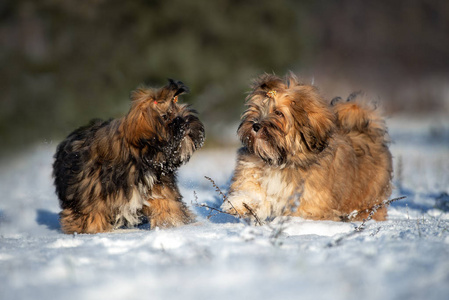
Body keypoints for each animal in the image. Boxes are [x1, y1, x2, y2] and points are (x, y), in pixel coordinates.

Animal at [53, 78, 205, 233]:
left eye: (182, 110)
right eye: (165, 116)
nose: (186, 122)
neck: (138, 157)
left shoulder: (157, 187)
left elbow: (167, 205)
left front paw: (174, 224)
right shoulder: (91, 194)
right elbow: (92, 215)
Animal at [222, 72, 390, 223]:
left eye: (278, 113)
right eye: (256, 109)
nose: (255, 125)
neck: (281, 160)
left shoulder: (310, 200)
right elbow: (252, 190)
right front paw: (240, 203)